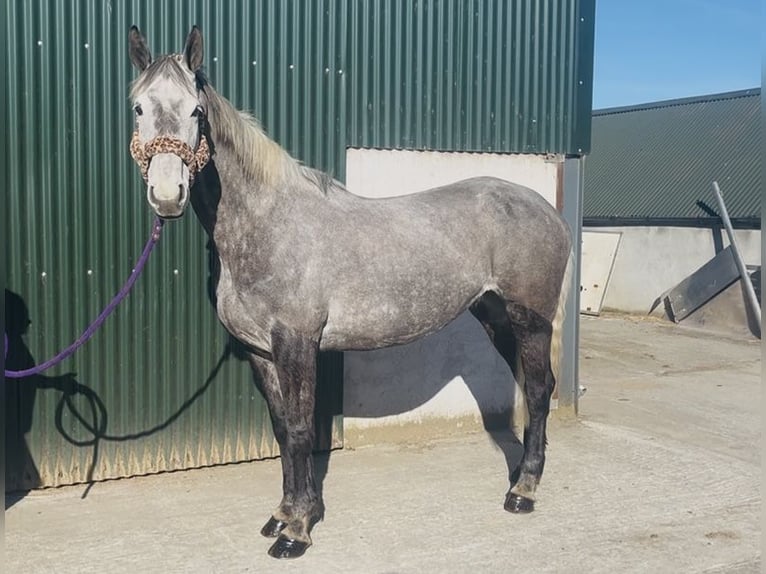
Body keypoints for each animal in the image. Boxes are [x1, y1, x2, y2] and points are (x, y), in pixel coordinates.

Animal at [127, 25, 573, 559]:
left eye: (195, 110)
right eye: (138, 107)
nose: (167, 194)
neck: (269, 224)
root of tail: (545, 209)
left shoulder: (296, 344)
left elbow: (302, 430)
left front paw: (297, 531)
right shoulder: (261, 351)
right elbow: (282, 429)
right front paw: (284, 514)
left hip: (530, 320)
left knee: (539, 391)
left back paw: (523, 492)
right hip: (495, 317)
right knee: (536, 386)